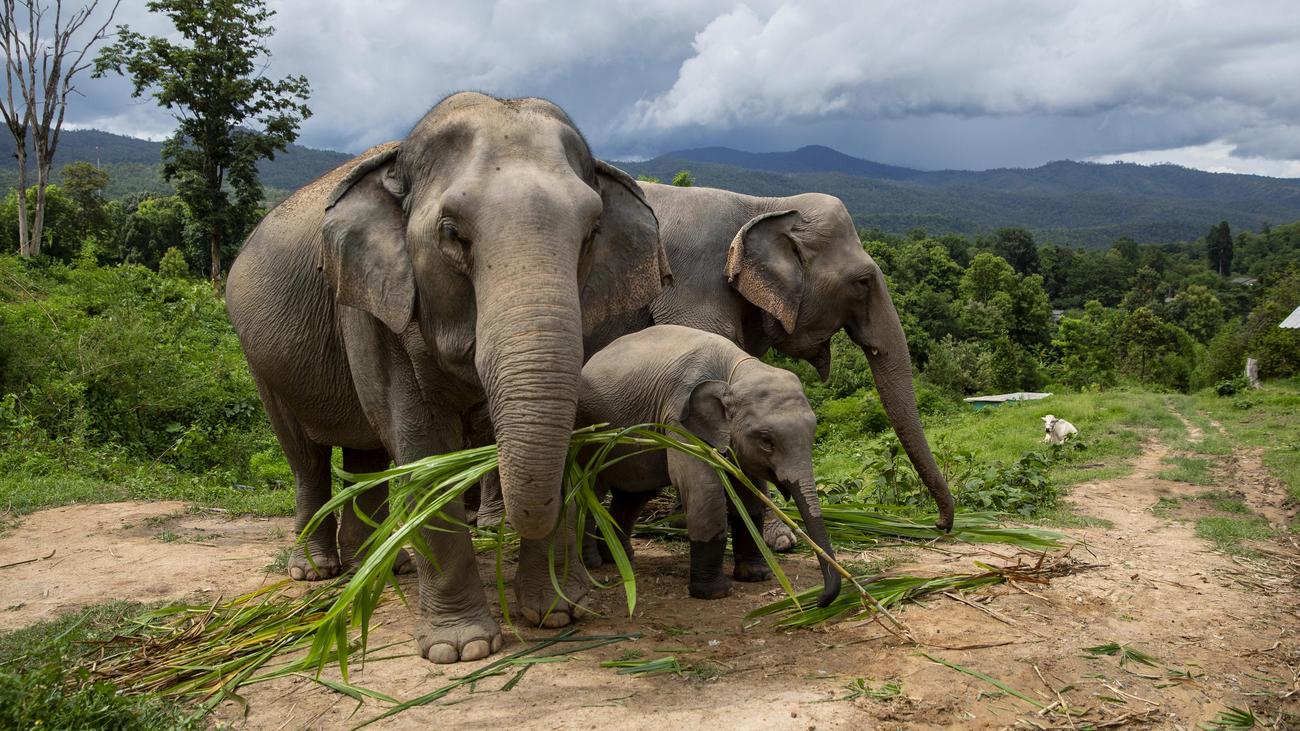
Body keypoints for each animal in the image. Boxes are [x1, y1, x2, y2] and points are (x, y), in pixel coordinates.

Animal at [226, 92, 670, 660]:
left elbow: (568, 431)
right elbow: (425, 449)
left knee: (367, 457)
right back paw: (316, 571)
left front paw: (557, 614)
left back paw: (385, 567)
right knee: (306, 457)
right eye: (452, 234)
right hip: (259, 359)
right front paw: (462, 648)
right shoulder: (377, 307)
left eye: (592, 233)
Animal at [579, 323, 842, 603]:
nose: (819, 600)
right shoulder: (678, 419)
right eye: (767, 441)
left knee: (635, 494)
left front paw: (757, 576)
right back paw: (593, 563)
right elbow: (705, 490)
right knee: (590, 489)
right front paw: (716, 593)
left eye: (812, 435)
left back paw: (620, 557)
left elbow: (750, 494)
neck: (734, 371)